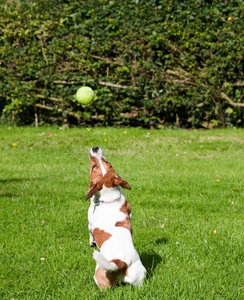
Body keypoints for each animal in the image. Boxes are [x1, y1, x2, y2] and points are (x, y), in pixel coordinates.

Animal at [86, 146, 147, 290]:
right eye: (109, 162)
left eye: (93, 166)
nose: (95, 148)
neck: (108, 196)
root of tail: (121, 263)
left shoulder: (90, 223)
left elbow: (90, 233)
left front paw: (92, 242)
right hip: (139, 275)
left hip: (100, 275)